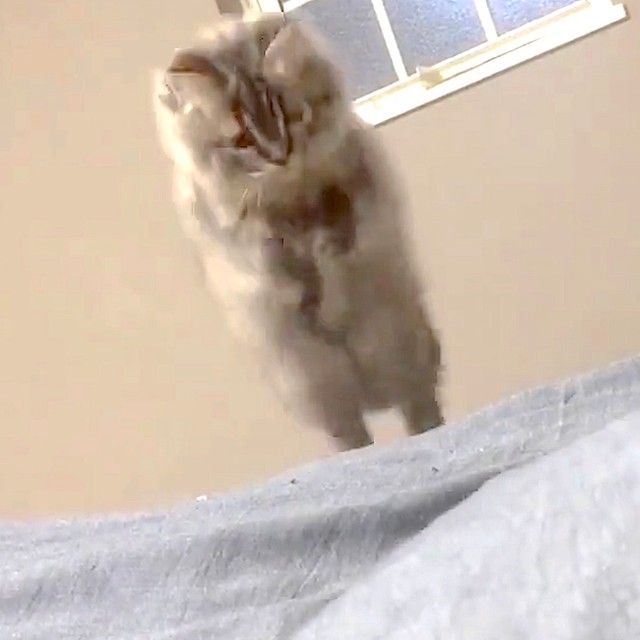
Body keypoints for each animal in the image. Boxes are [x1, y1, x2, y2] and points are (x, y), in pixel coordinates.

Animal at [152, 12, 444, 451]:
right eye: (242, 139)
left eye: (288, 116)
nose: (279, 155)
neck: (291, 198)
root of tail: (371, 395)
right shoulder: (244, 242)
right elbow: (278, 259)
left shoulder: (357, 191)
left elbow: (338, 235)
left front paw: (328, 281)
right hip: (318, 386)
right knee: (353, 437)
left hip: (400, 350)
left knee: (420, 411)